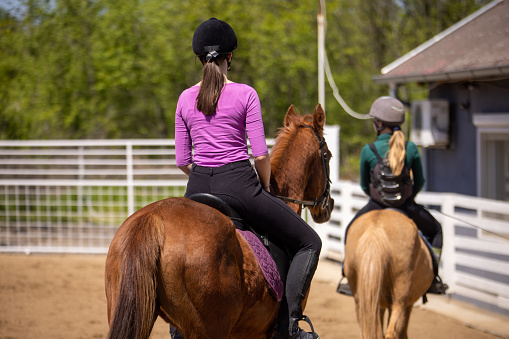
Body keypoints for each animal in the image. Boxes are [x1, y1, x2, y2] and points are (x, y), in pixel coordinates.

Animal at [344, 210, 430, 339]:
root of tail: (375, 231)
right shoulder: (406, 305)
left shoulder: (378, 304)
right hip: (400, 299)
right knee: (392, 331)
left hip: (362, 300)